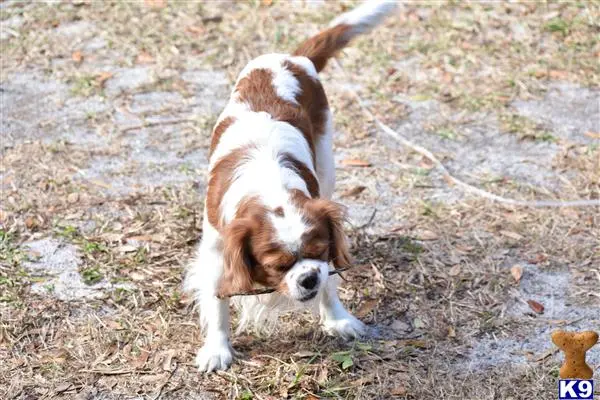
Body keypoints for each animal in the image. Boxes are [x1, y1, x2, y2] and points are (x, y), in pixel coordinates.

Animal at [185, 0, 396, 372]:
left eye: (319, 251)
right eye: (278, 265)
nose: (307, 278)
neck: (269, 187)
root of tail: (292, 58)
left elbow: (330, 286)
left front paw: (338, 319)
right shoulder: (216, 251)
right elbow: (217, 299)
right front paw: (217, 349)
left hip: (326, 166)